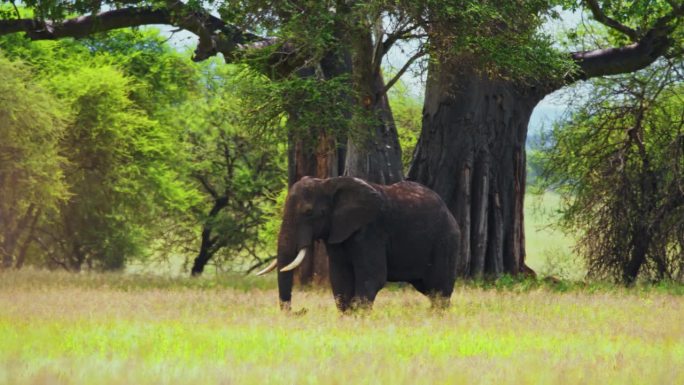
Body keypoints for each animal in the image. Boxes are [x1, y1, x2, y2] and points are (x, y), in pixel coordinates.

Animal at [255, 176, 460, 310]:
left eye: (308, 212)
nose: (300, 311)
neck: (328, 184)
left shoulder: (371, 231)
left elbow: (372, 277)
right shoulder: (337, 231)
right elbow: (340, 278)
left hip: (446, 241)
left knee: (439, 289)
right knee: (431, 290)